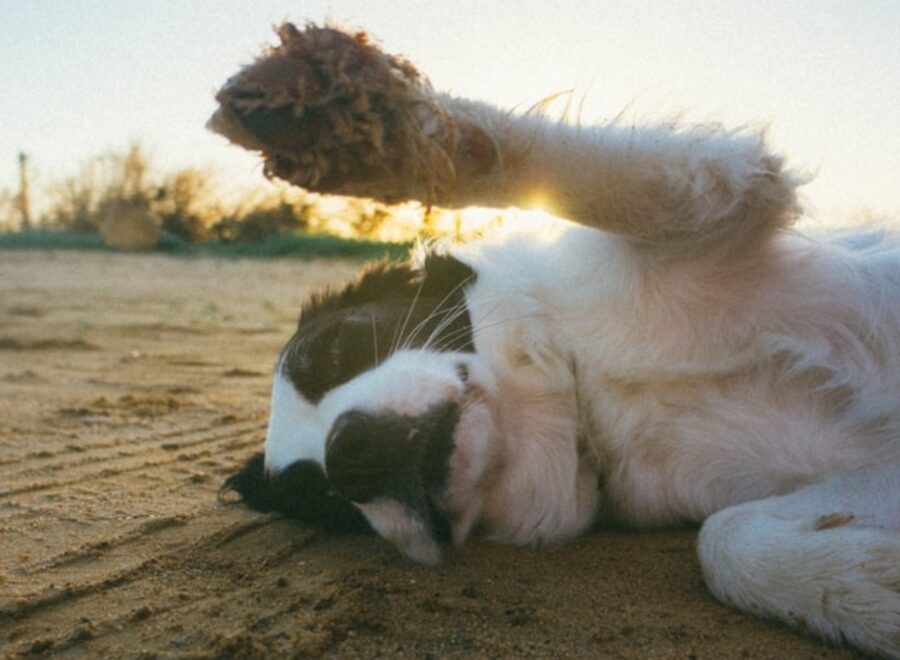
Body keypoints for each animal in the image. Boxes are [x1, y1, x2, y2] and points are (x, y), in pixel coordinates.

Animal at [207, 23, 896, 656]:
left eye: (338, 349)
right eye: (321, 496)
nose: (349, 452)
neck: (585, 386)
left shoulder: (716, 203)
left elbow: (545, 166)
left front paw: (360, 126)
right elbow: (723, 538)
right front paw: (869, 590)